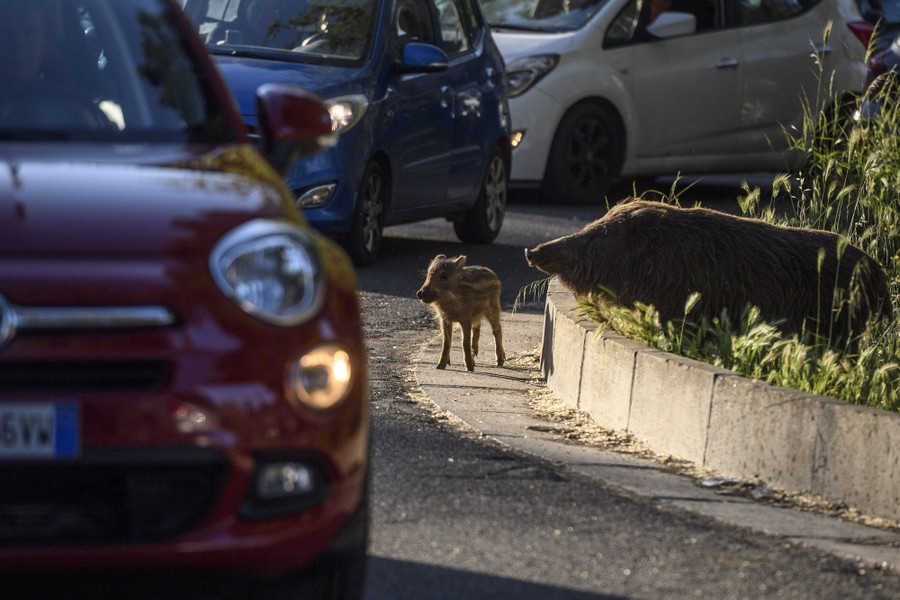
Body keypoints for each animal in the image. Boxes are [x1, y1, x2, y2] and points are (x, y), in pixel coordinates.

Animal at [525, 199, 892, 345]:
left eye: (602, 233)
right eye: (596, 223)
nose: (532, 251)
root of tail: (878, 271)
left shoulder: (681, 310)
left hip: (842, 328)